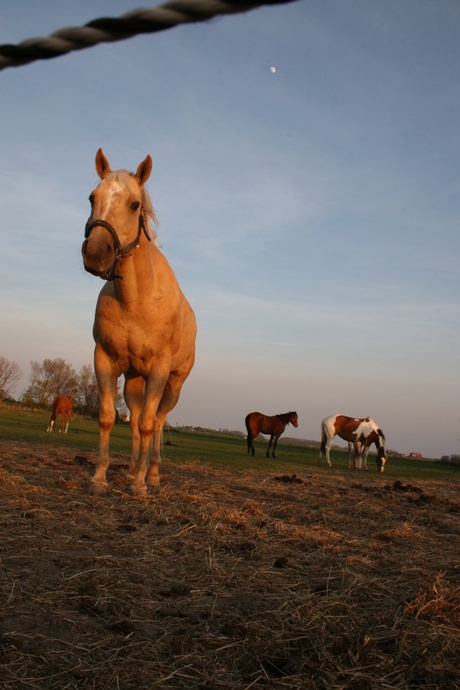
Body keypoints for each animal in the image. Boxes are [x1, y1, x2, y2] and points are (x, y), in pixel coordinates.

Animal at [81, 149, 196, 494]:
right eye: (92, 197)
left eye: (134, 205)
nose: (96, 253)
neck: (136, 300)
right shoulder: (104, 359)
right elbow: (108, 417)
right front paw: (100, 478)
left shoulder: (158, 370)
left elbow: (148, 423)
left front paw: (142, 486)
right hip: (134, 378)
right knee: (134, 418)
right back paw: (133, 470)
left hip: (173, 384)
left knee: (156, 421)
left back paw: (151, 473)